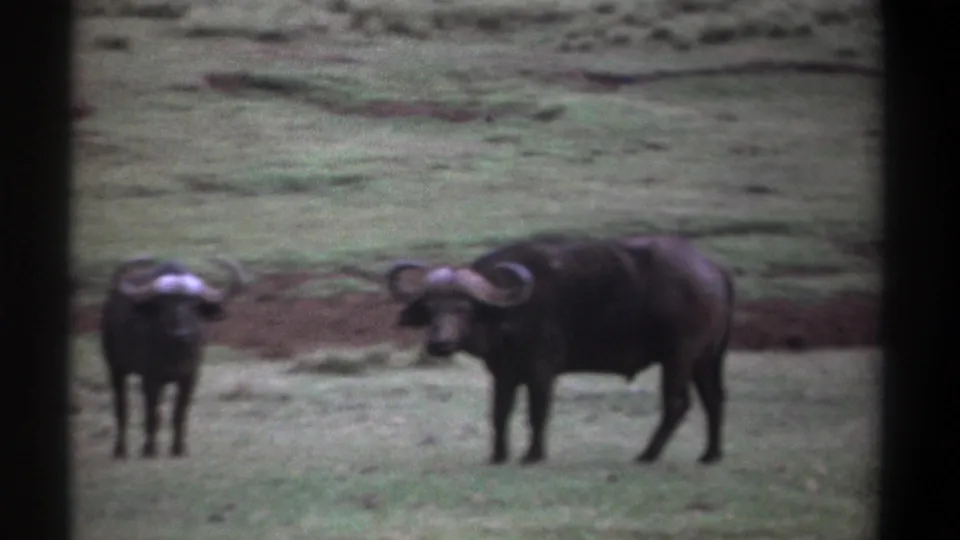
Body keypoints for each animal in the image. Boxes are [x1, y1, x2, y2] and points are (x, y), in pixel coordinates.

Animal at [100, 255, 251, 459]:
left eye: (194, 306)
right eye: (164, 305)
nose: (181, 334)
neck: (174, 353)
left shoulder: (190, 377)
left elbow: (179, 412)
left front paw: (178, 448)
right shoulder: (150, 378)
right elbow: (152, 413)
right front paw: (149, 449)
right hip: (115, 368)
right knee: (121, 406)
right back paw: (120, 449)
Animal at [385, 235, 735, 465]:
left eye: (465, 308)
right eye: (431, 308)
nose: (439, 343)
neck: (511, 312)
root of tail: (714, 269)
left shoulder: (542, 370)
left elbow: (537, 412)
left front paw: (533, 455)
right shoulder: (503, 373)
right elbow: (499, 413)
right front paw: (498, 456)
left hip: (679, 357)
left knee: (677, 403)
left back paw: (647, 454)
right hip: (707, 358)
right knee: (714, 399)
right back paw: (710, 454)